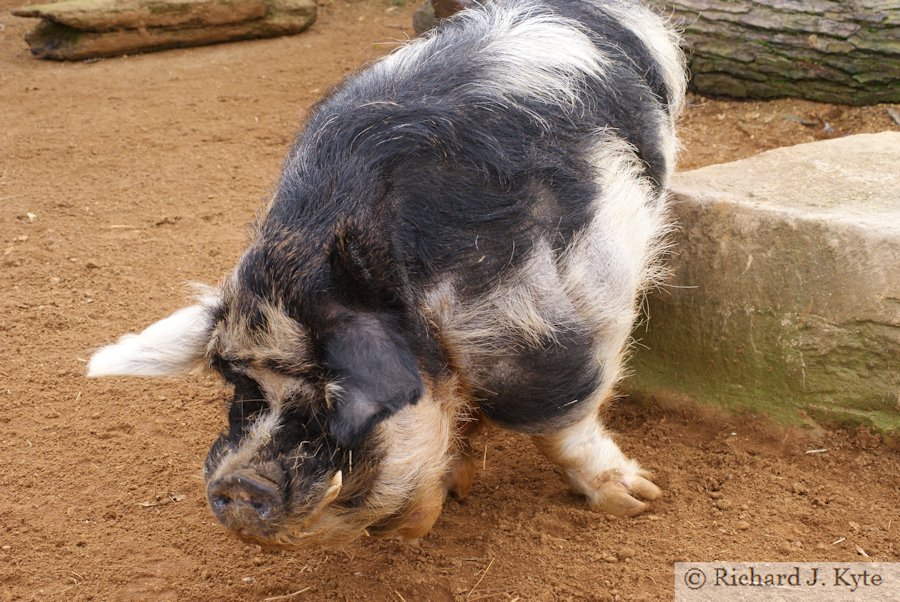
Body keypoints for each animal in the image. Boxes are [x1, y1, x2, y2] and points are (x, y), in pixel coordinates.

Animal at [88, 0, 684, 548]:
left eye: (337, 391)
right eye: (239, 385)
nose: (239, 486)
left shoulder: (547, 314)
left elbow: (554, 414)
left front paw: (640, 500)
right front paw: (457, 485)